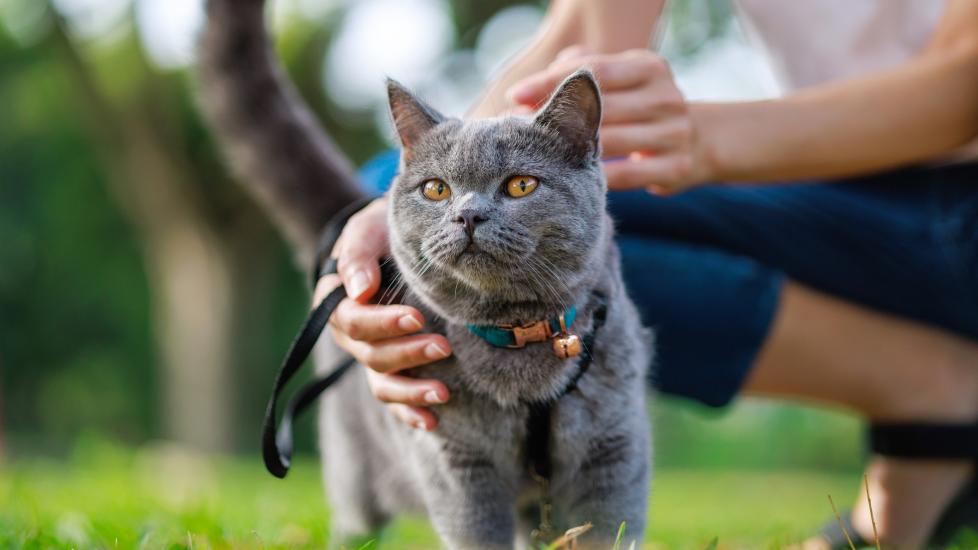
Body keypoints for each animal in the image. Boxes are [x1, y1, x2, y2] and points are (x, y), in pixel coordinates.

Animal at [316, 73, 652, 550]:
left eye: (521, 185)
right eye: (436, 189)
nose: (468, 215)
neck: (515, 330)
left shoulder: (614, 446)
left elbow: (610, 530)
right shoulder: (456, 459)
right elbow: (476, 531)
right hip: (355, 473)